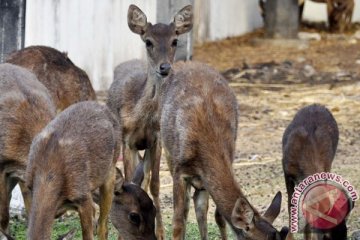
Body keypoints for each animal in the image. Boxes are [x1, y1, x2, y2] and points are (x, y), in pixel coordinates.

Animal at [105, 3, 193, 238]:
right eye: (148, 41)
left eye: (175, 40)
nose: (165, 67)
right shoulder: (127, 140)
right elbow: (129, 179)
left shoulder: (157, 139)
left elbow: (154, 184)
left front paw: (161, 232)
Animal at [282, 104, 344, 240]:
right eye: (326, 235)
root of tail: (316, 104)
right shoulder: (286, 172)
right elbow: (290, 205)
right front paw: (290, 237)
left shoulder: (325, 168)